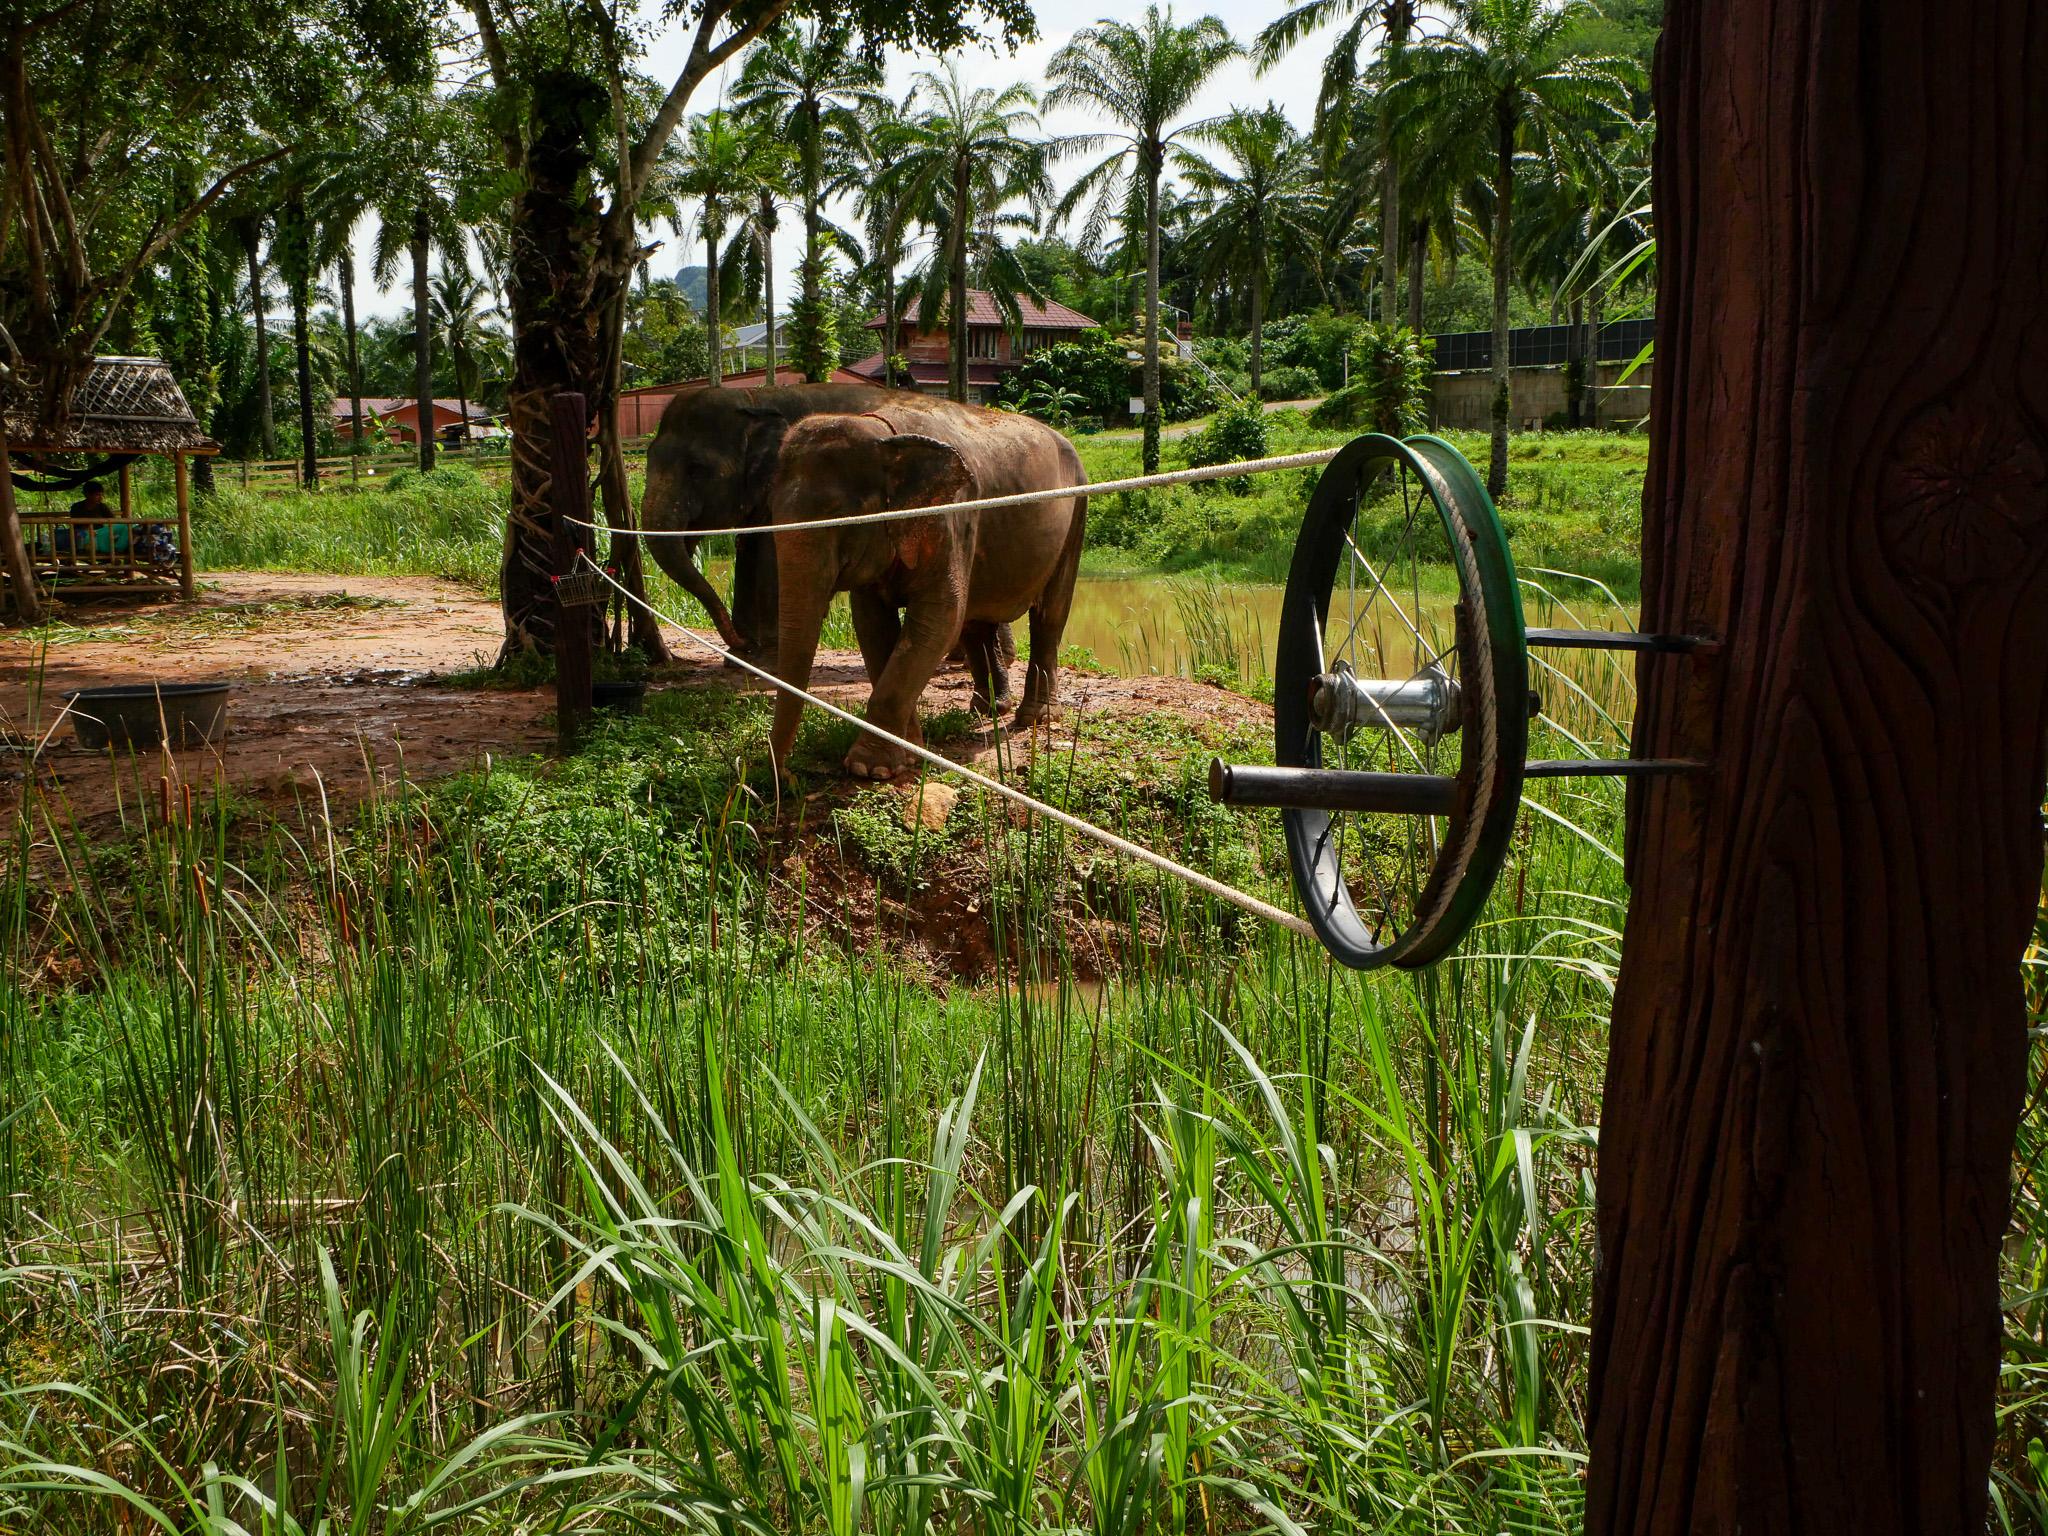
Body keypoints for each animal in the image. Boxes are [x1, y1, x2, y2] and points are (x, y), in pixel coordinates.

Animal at [637, 382, 1015, 685]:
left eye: (696, 470)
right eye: (649, 457)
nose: (737, 642)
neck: (754, 397)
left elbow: (770, 560)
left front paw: (764, 662)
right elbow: (748, 549)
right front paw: (743, 660)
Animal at [763, 410, 1088, 780]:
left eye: (839, 517)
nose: (786, 775)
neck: (883, 433)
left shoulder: (951, 516)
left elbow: (938, 618)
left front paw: (870, 768)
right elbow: (874, 627)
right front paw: (908, 753)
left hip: (1076, 514)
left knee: (1050, 614)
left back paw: (1036, 717)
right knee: (976, 621)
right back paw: (987, 709)